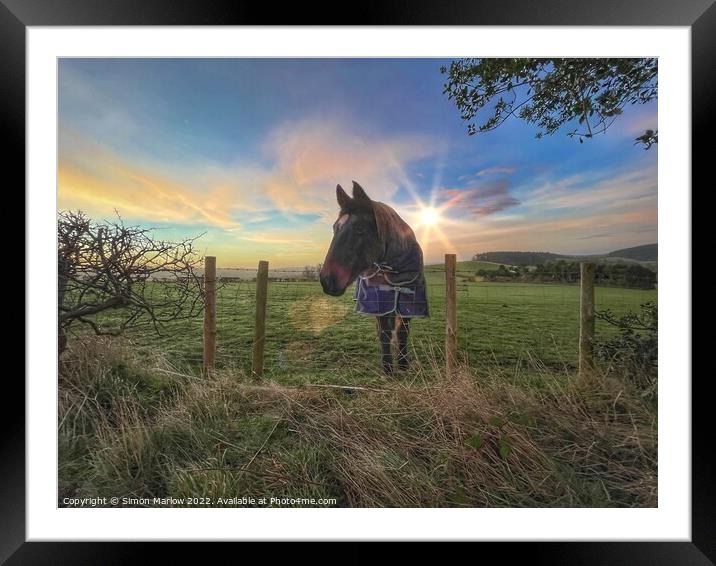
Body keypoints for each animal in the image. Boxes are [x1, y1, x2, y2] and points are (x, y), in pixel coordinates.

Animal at [322, 183, 428, 378]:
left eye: (359, 228)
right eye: (334, 228)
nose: (327, 280)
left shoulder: (408, 301)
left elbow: (402, 332)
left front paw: (403, 365)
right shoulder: (381, 303)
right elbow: (384, 333)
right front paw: (388, 369)